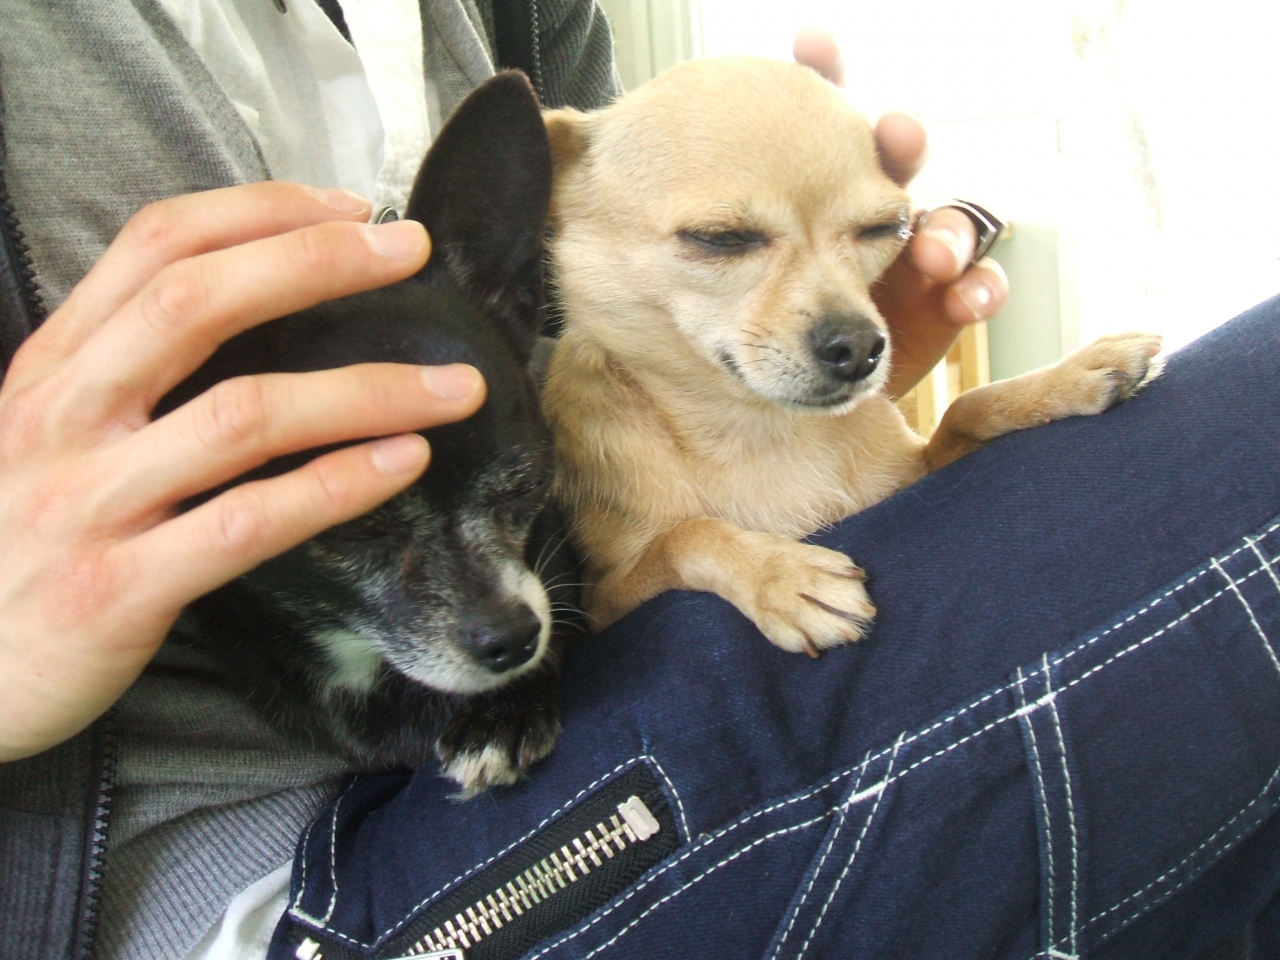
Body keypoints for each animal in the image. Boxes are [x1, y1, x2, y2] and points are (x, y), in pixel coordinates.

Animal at [540, 58, 1162, 655]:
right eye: (719, 238)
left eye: (887, 228)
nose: (861, 346)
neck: (755, 426)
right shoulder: (605, 605)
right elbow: (687, 536)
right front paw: (780, 575)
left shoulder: (914, 474)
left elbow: (964, 409)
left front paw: (1065, 376)